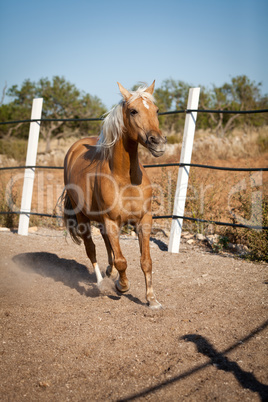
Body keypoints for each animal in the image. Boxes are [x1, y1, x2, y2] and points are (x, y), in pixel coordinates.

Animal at [63, 81, 166, 308]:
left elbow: (146, 261)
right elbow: (121, 260)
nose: (158, 142)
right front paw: (122, 286)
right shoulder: (112, 221)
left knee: (106, 243)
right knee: (91, 249)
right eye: (133, 111)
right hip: (83, 218)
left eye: (156, 110)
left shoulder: (144, 220)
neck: (125, 179)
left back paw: (109, 273)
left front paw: (152, 299)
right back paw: (102, 283)